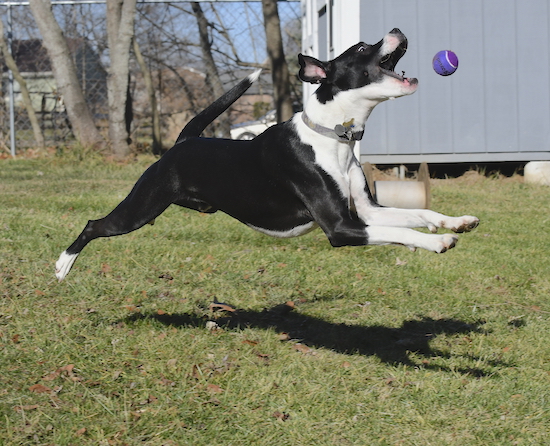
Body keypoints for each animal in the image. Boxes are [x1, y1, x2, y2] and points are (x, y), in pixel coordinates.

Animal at [55, 29, 478, 282]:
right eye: (361, 48)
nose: (398, 31)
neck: (332, 136)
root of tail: (183, 141)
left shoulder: (367, 212)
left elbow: (418, 215)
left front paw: (456, 223)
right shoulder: (341, 228)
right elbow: (401, 230)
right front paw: (438, 242)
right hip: (140, 208)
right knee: (94, 225)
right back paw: (62, 265)